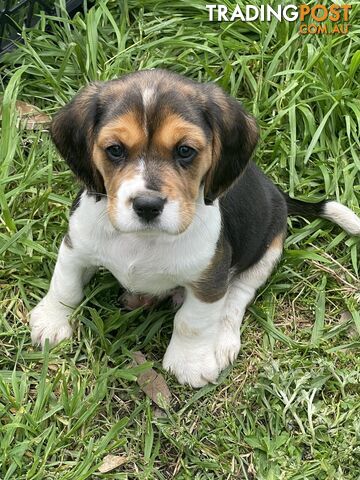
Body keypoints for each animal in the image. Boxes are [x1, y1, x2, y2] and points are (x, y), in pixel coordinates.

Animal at [28, 69, 360, 388]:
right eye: (115, 150)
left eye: (185, 151)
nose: (147, 205)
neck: (144, 239)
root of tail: (277, 192)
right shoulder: (76, 246)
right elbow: (65, 286)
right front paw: (51, 322)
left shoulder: (209, 279)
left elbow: (192, 322)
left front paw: (190, 363)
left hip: (269, 249)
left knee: (237, 295)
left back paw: (222, 340)